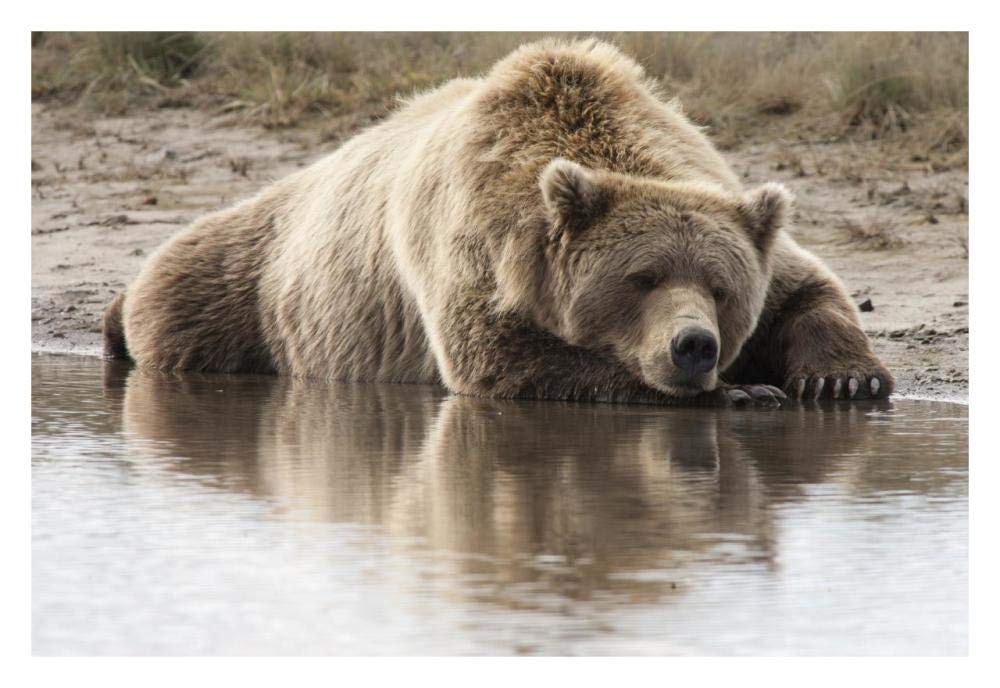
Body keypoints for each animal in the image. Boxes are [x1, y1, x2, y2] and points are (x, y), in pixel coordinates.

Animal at [104, 39, 894, 405]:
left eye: (722, 288)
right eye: (641, 278)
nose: (694, 345)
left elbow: (806, 288)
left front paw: (844, 381)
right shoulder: (477, 247)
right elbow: (506, 359)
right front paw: (743, 391)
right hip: (249, 285)